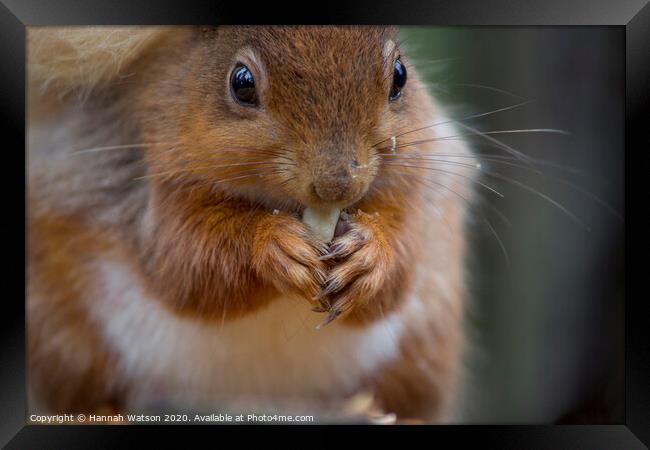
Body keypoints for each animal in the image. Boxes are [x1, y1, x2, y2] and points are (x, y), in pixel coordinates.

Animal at [27, 26, 474, 422]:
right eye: (241, 83)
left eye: (400, 75)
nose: (336, 185)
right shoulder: (147, 175)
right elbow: (185, 265)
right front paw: (275, 246)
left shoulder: (415, 183)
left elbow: (400, 264)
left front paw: (368, 257)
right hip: (65, 335)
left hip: (421, 350)